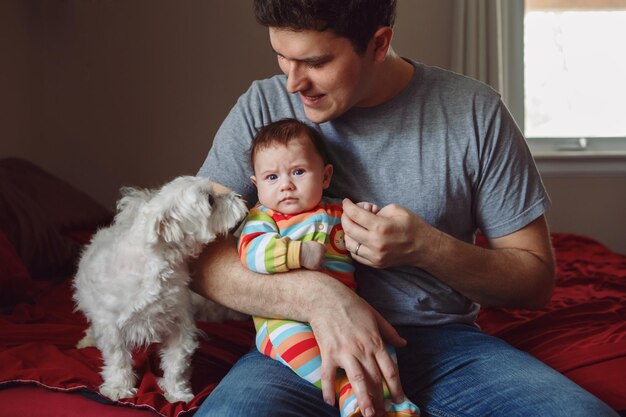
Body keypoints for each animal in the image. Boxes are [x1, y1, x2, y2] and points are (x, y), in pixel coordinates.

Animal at [72, 176, 246, 404]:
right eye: (210, 199)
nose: (239, 196)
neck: (157, 265)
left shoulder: (179, 326)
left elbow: (176, 365)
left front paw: (177, 392)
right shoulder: (112, 327)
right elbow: (118, 360)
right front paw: (119, 388)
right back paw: (88, 341)